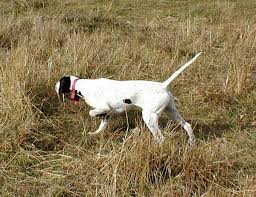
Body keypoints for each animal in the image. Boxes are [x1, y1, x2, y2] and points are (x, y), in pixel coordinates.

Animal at [55, 53, 201, 144]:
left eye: (60, 82)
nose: (54, 86)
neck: (83, 86)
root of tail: (162, 85)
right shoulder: (107, 115)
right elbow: (101, 125)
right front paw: (95, 133)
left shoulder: (104, 107)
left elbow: (91, 112)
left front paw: (94, 116)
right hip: (171, 112)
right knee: (187, 126)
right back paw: (191, 143)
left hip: (149, 117)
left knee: (161, 138)